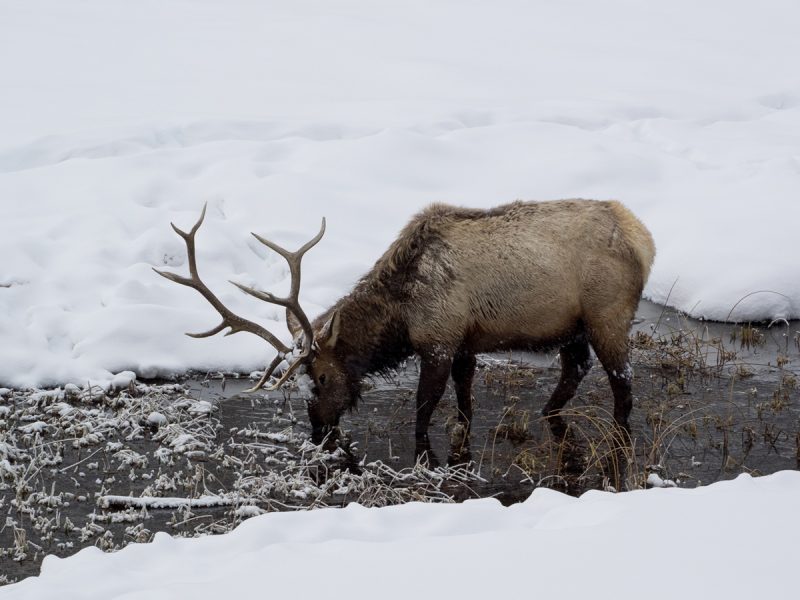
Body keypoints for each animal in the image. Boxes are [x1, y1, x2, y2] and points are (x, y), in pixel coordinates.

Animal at [155, 200, 655, 451]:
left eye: (322, 376)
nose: (318, 427)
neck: (401, 312)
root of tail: (644, 239)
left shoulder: (437, 340)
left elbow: (423, 408)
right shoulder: (465, 340)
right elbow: (465, 399)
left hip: (607, 313)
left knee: (623, 380)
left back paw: (619, 434)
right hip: (571, 326)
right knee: (577, 367)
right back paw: (550, 412)